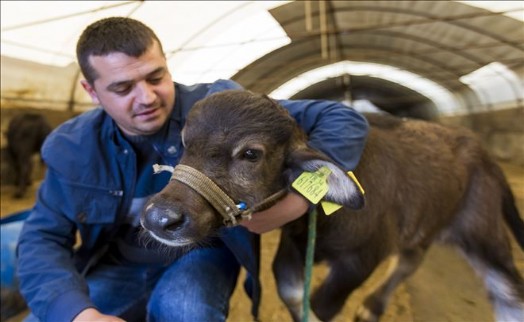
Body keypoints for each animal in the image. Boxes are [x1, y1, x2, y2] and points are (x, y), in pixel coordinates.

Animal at [141, 90, 520, 322]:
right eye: (186, 144)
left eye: (250, 153)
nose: (160, 218)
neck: (322, 219)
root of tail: (480, 149)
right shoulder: (293, 248)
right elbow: (293, 292)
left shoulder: (362, 258)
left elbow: (323, 304)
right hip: (424, 225)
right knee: (410, 261)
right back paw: (372, 308)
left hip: (483, 232)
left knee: (507, 289)